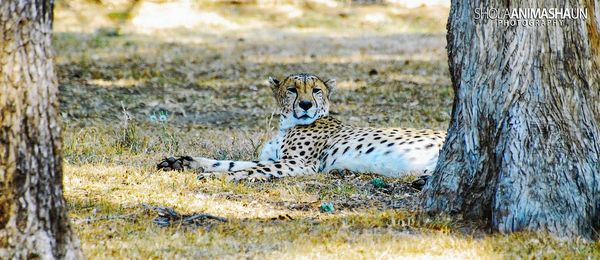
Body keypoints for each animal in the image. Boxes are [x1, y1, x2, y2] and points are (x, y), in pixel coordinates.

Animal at [157, 72, 448, 183]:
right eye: (292, 90)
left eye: (316, 90)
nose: (306, 104)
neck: (287, 125)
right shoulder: (275, 157)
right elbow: (229, 162)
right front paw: (181, 162)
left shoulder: (302, 164)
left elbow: (252, 169)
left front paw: (217, 178)